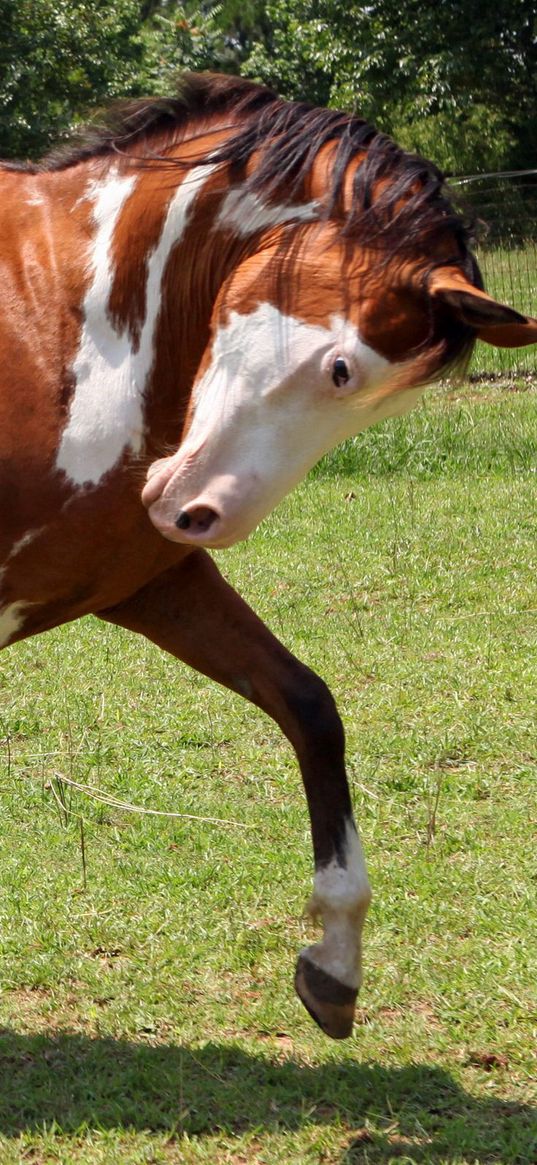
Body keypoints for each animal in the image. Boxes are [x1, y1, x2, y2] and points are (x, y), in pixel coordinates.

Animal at [1, 72, 535, 1039]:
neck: (51, 317)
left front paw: (334, 959)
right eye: (340, 369)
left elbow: (307, 704)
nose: (200, 513)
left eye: (379, 403)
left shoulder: (152, 584)